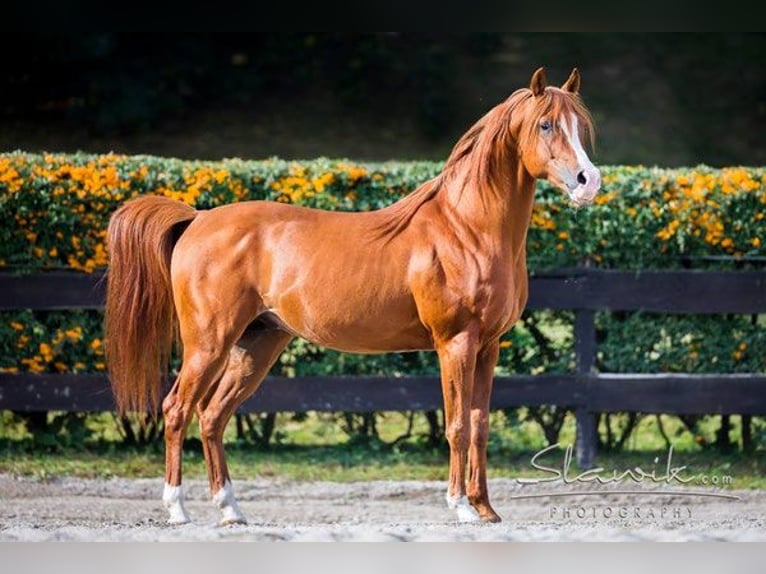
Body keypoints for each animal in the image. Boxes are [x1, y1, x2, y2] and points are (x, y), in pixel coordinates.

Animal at [104, 67, 600, 525]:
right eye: (546, 124)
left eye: (580, 124)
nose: (587, 181)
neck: (466, 228)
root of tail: (197, 218)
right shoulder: (455, 343)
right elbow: (458, 425)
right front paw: (460, 507)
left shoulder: (488, 346)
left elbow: (480, 424)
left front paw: (486, 510)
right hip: (209, 343)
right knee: (176, 410)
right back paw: (177, 510)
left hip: (256, 344)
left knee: (212, 416)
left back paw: (231, 511)